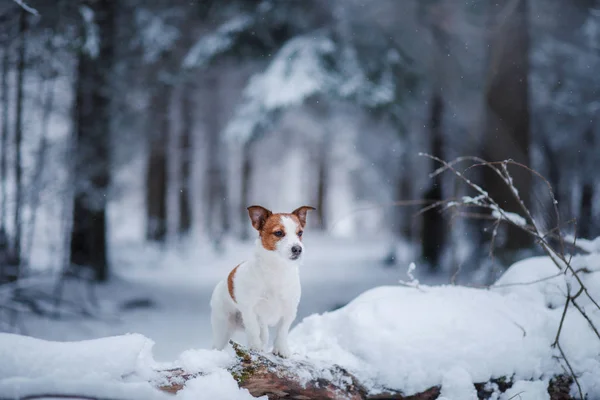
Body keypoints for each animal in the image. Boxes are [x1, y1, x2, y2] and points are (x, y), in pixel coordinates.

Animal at [210, 205, 314, 358]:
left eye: (300, 233)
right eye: (278, 233)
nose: (297, 249)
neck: (277, 270)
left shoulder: (289, 310)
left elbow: (282, 331)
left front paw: (281, 349)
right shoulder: (249, 310)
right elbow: (253, 330)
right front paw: (255, 348)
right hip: (222, 327)